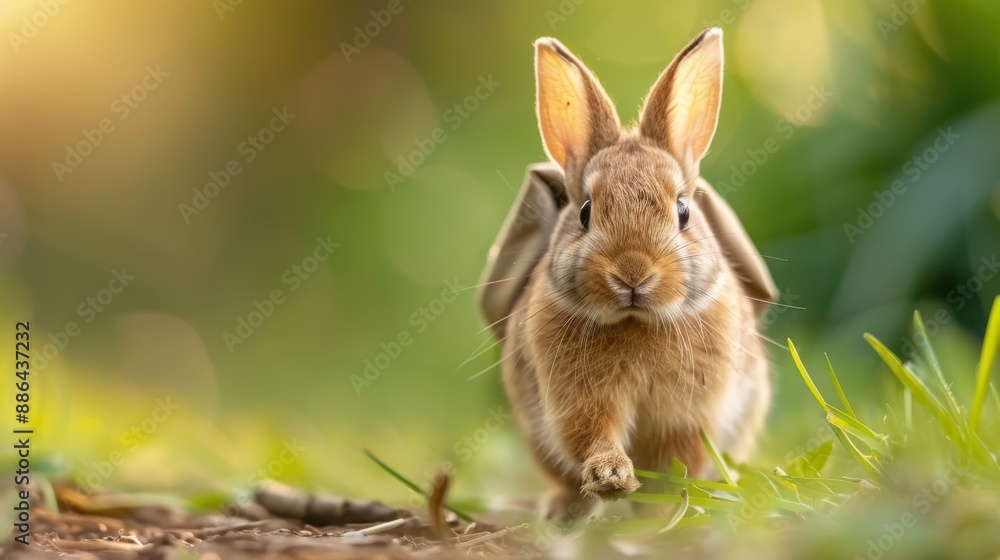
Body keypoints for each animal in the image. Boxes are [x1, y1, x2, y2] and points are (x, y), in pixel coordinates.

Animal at [480, 28, 777, 520]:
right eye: (585, 212)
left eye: (683, 211)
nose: (633, 274)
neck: (636, 323)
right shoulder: (576, 400)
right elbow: (590, 434)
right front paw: (612, 476)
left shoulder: (688, 414)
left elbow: (676, 456)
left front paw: (662, 506)